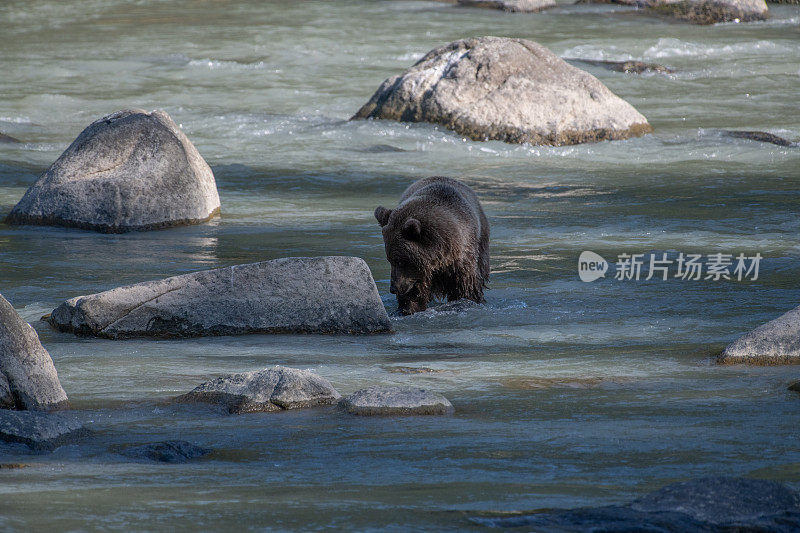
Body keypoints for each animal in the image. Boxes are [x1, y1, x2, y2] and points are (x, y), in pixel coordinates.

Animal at [374, 177, 488, 314]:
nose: (393, 288)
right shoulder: (419, 272)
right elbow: (414, 292)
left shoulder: (463, 257)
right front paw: (409, 308)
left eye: (400, 261)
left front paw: (467, 300)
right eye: (390, 260)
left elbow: (466, 286)